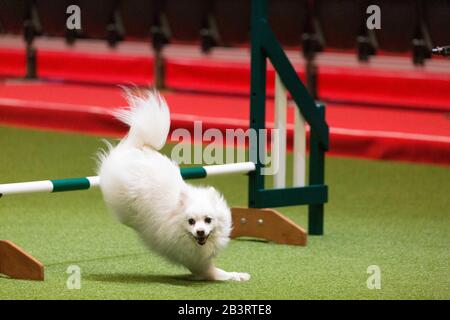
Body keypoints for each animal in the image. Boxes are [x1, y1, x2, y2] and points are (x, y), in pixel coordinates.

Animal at [96, 90, 250, 282]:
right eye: (191, 222)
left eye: (208, 220)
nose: (200, 231)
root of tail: (136, 147)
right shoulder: (196, 261)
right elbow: (216, 273)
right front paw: (234, 276)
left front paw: (240, 275)